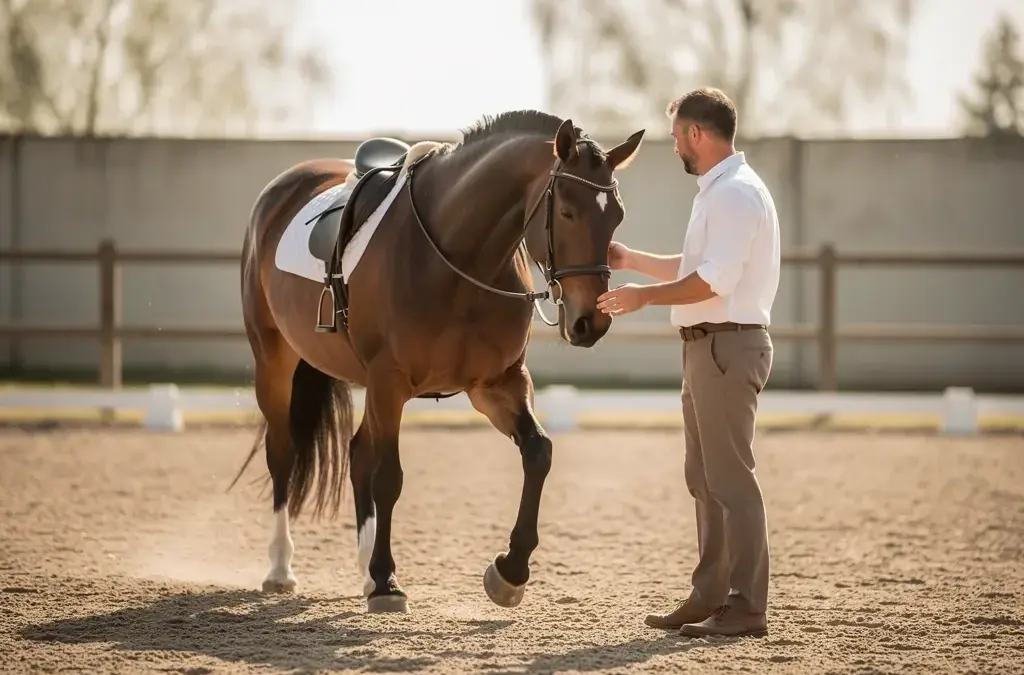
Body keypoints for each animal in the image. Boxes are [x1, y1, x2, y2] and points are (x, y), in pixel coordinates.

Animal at [234, 109, 645, 613]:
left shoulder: (497, 383)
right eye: (566, 210)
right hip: (275, 359)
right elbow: (389, 477)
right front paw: (388, 583)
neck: (459, 259)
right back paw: (282, 568)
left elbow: (538, 453)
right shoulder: (390, 381)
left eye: (617, 217)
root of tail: (284, 185)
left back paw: (364, 571)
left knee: (357, 453)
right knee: (285, 452)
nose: (591, 322)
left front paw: (509, 572)